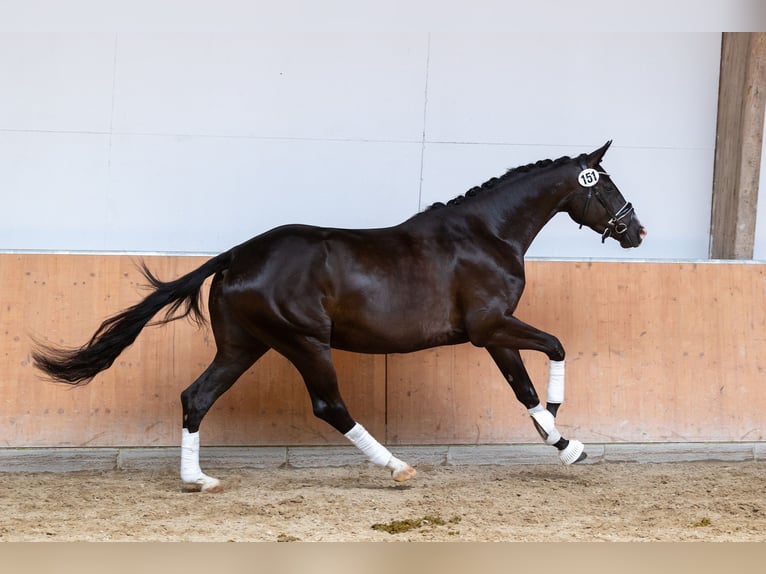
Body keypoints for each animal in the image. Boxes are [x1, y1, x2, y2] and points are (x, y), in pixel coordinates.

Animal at [36, 142, 648, 492]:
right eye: (607, 184)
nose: (636, 230)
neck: (485, 233)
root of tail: (237, 255)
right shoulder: (487, 327)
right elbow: (555, 347)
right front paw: (561, 423)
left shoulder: (493, 332)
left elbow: (521, 387)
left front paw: (563, 443)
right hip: (304, 342)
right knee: (329, 406)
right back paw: (397, 468)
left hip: (243, 346)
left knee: (196, 397)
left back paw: (198, 481)